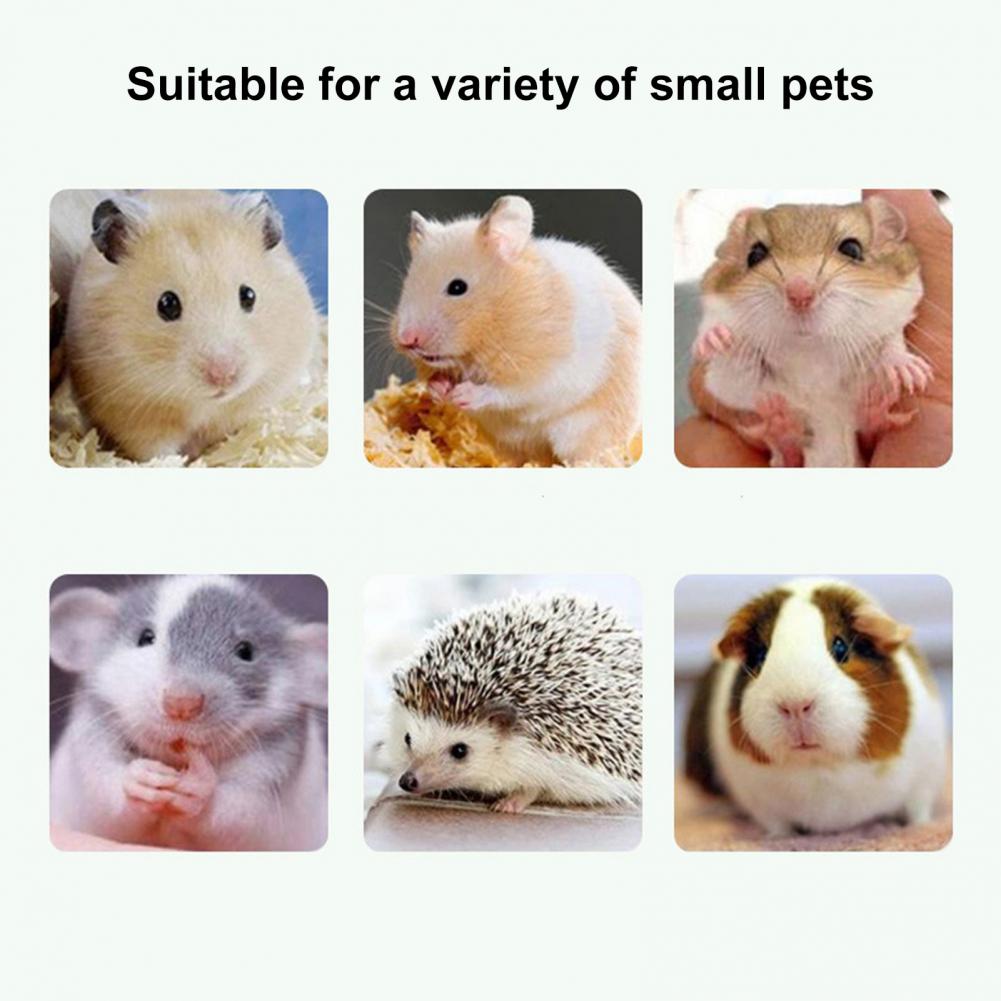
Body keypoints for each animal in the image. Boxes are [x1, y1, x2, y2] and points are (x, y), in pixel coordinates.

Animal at [49, 576, 328, 850]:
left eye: (246, 651)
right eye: (145, 637)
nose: (181, 703)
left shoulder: (273, 766)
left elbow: (239, 813)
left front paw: (199, 785)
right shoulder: (89, 737)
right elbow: (102, 790)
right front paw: (138, 779)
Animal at [58, 190, 318, 461]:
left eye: (248, 295)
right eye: (167, 304)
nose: (223, 376)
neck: (201, 403)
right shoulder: (132, 414)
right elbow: (155, 449)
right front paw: (176, 461)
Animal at [390, 195, 641, 465]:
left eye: (457, 287)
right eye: (407, 284)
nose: (407, 339)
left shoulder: (545, 373)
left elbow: (507, 392)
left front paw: (463, 395)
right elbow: (435, 378)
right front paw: (441, 389)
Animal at [684, 579, 947, 836]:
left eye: (840, 648)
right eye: (760, 656)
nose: (795, 705)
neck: (819, 766)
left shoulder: (923, 783)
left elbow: (917, 812)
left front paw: (919, 828)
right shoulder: (762, 806)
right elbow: (778, 828)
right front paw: (781, 838)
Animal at [692, 198, 928, 467]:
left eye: (852, 249)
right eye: (755, 255)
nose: (799, 295)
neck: (810, 351)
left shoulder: (894, 318)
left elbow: (890, 342)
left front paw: (913, 374)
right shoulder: (727, 382)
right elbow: (731, 363)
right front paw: (715, 339)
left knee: (869, 431)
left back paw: (875, 409)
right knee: (789, 454)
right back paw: (779, 423)